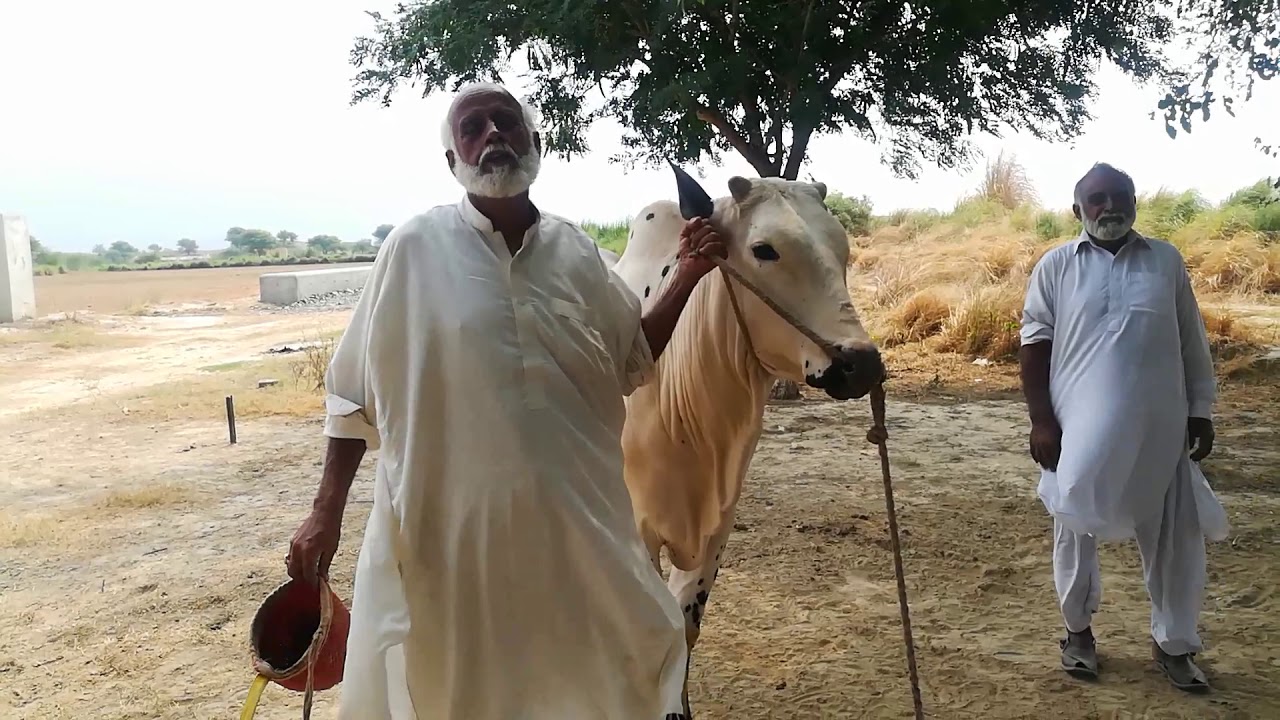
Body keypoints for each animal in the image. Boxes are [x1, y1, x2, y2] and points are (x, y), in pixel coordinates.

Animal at [611, 171, 885, 715]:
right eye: (764, 250)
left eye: (842, 249)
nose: (861, 363)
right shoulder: (638, 527)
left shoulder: (719, 526)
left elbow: (685, 628)